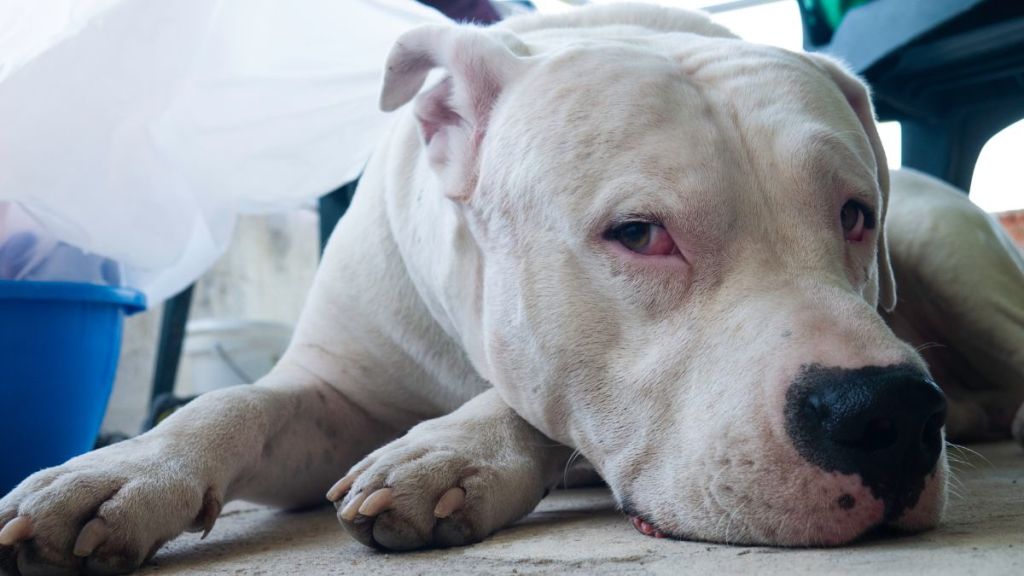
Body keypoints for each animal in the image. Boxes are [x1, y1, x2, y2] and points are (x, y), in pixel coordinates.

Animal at [2, 5, 1024, 573]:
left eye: (854, 214)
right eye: (639, 234)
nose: (889, 412)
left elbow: (530, 402)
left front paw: (449, 453)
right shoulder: (334, 389)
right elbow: (229, 404)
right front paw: (118, 472)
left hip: (947, 246)